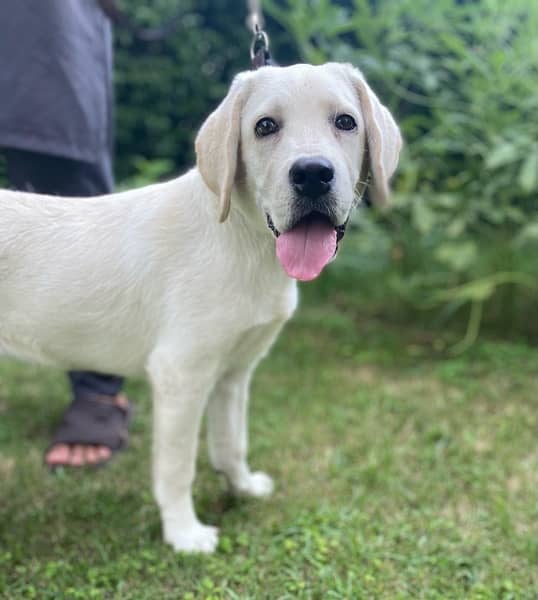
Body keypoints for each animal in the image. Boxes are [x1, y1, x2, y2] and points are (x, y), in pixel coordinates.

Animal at [0, 63, 398, 552]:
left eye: (345, 122)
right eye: (265, 126)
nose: (311, 174)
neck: (248, 243)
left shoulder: (234, 371)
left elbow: (231, 442)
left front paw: (243, 488)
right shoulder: (181, 372)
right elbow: (177, 466)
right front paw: (184, 534)